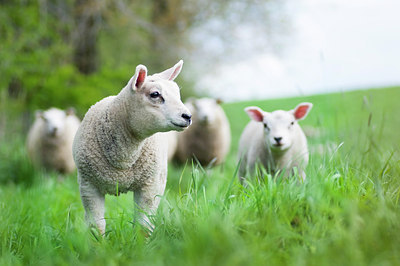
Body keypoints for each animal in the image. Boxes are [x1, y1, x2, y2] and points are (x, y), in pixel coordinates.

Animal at [73, 60, 192, 235]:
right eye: (155, 94)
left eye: (177, 94)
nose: (188, 116)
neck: (124, 158)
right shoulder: (89, 185)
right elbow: (97, 226)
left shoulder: (150, 185)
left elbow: (143, 226)